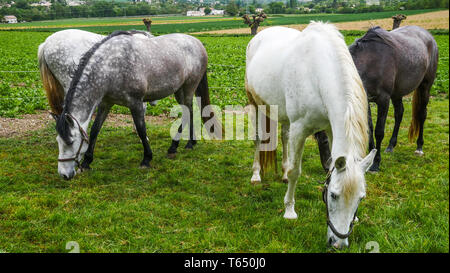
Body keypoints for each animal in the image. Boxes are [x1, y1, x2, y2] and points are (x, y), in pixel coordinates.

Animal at [52, 30, 220, 180]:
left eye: (71, 142)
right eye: (58, 141)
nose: (64, 175)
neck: (111, 67)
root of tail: (197, 43)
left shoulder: (136, 103)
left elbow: (141, 130)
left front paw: (146, 159)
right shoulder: (106, 104)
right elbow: (94, 131)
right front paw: (87, 162)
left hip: (189, 87)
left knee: (188, 111)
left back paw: (180, 145)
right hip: (179, 90)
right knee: (188, 112)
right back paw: (186, 143)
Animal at [246, 22, 376, 249]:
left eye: (361, 198)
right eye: (333, 195)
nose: (338, 244)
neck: (317, 73)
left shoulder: (331, 128)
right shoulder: (301, 129)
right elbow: (296, 172)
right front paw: (289, 211)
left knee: (284, 136)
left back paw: (282, 173)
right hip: (256, 105)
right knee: (257, 139)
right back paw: (256, 175)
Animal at [314, 25, 438, 170]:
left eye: (325, 140)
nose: (327, 166)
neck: (369, 63)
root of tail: (428, 36)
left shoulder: (383, 100)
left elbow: (379, 131)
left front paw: (376, 163)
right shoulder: (366, 100)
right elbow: (370, 129)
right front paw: (370, 157)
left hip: (425, 87)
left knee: (422, 114)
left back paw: (419, 147)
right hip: (397, 93)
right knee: (399, 113)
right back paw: (390, 146)